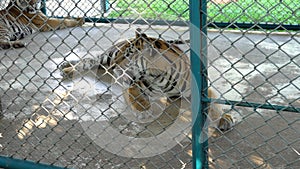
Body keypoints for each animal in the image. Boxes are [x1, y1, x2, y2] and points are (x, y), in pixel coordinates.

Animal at [60, 28, 234, 131]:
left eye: (128, 55)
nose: (115, 66)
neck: (162, 76)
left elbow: (214, 104)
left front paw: (224, 119)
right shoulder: (131, 81)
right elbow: (135, 94)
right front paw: (143, 109)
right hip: (107, 56)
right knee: (90, 59)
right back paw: (68, 69)